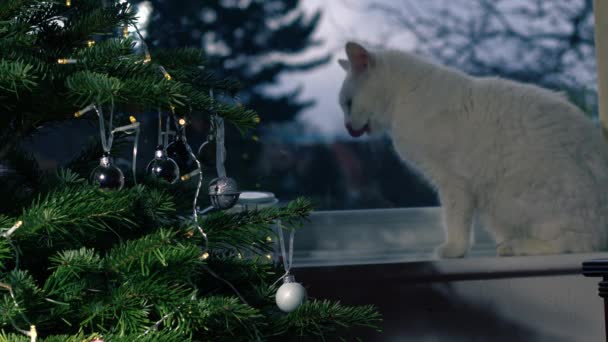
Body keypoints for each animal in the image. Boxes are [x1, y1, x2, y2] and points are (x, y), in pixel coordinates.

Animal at [338, 41, 608, 258]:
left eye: (348, 104)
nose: (348, 127)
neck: (404, 98)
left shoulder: (452, 182)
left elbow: (454, 221)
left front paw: (452, 251)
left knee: (577, 243)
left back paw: (515, 246)